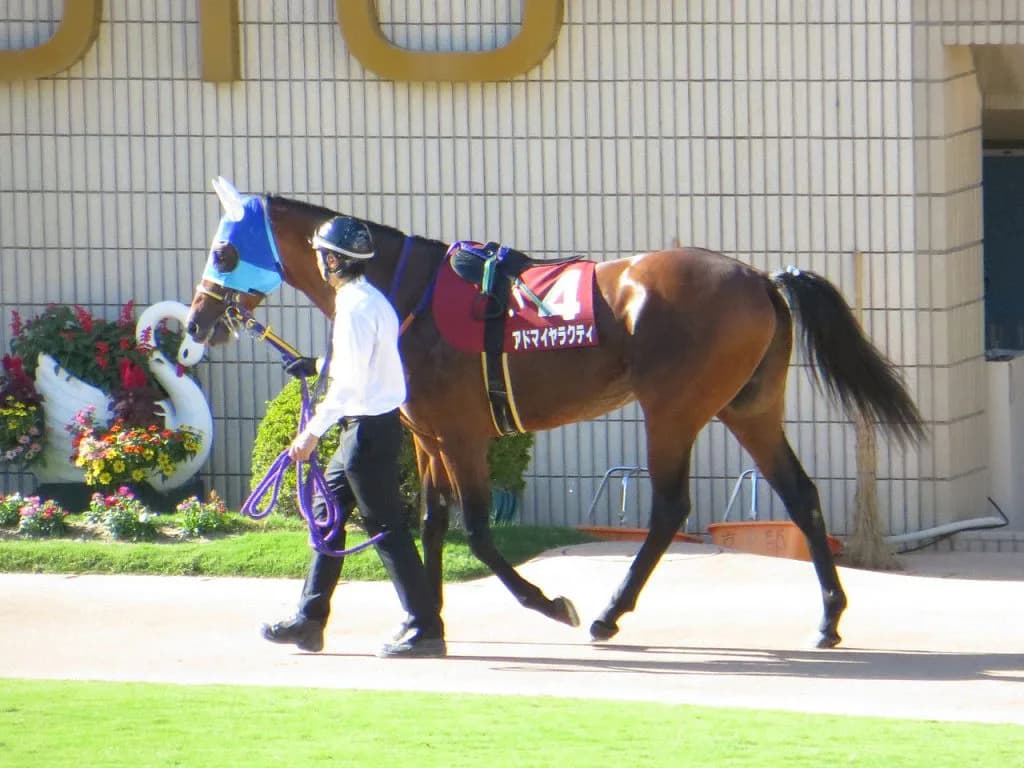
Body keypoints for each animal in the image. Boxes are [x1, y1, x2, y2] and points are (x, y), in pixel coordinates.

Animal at [186, 177, 923, 649]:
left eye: (223, 248)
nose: (194, 325)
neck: (405, 291)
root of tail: (763, 279)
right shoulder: (428, 436)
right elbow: (428, 524)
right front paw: (422, 621)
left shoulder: (463, 435)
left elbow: (478, 532)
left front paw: (545, 604)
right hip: (751, 406)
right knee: (799, 494)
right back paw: (828, 618)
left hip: (673, 408)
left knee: (669, 508)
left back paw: (607, 614)